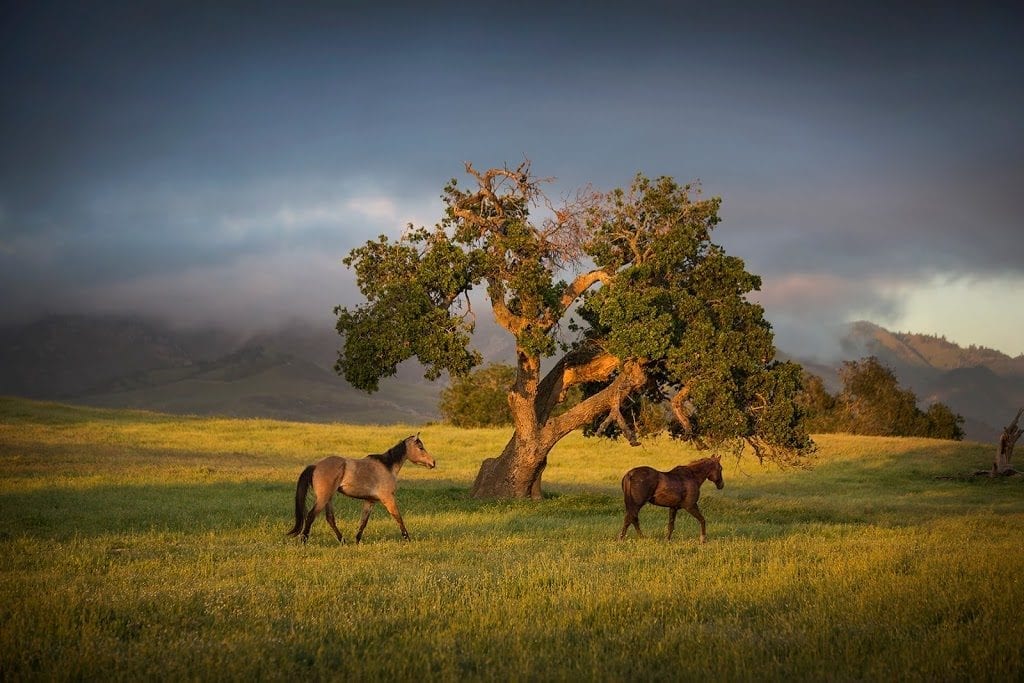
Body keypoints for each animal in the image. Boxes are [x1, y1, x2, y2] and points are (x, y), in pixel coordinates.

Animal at [284, 438, 436, 544]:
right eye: (421, 447)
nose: (433, 462)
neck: (387, 466)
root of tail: (315, 466)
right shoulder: (388, 498)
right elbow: (398, 517)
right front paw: (407, 539)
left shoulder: (370, 501)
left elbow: (363, 522)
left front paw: (357, 540)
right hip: (323, 498)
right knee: (311, 516)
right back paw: (304, 540)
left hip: (328, 498)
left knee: (330, 519)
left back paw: (343, 541)